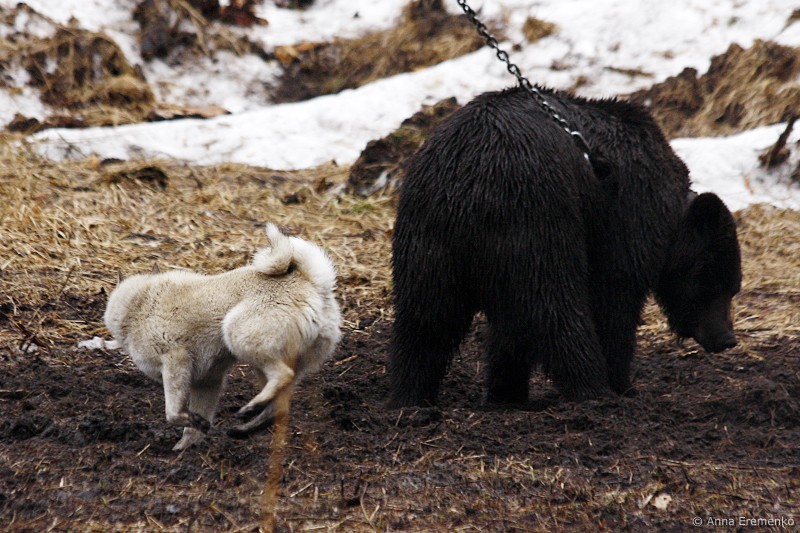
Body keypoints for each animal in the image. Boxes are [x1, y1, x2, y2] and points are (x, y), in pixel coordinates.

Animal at [104, 223, 341, 450]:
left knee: (282, 376)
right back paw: (244, 427)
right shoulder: (207, 382)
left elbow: (172, 414)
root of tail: (312, 283)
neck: (139, 303)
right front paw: (185, 447)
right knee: (279, 406)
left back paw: (250, 408)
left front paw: (192, 427)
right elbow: (194, 424)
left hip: (240, 337)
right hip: (268, 361)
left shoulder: (176, 362)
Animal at [389, 86, 742, 407]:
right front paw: (621, 383)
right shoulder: (622, 222)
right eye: (713, 281)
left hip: (429, 239)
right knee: (556, 305)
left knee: (425, 318)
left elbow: (509, 328)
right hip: (537, 216)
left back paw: (410, 396)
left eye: (732, 286)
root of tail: (469, 183)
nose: (727, 339)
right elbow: (613, 300)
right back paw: (593, 389)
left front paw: (506, 392)